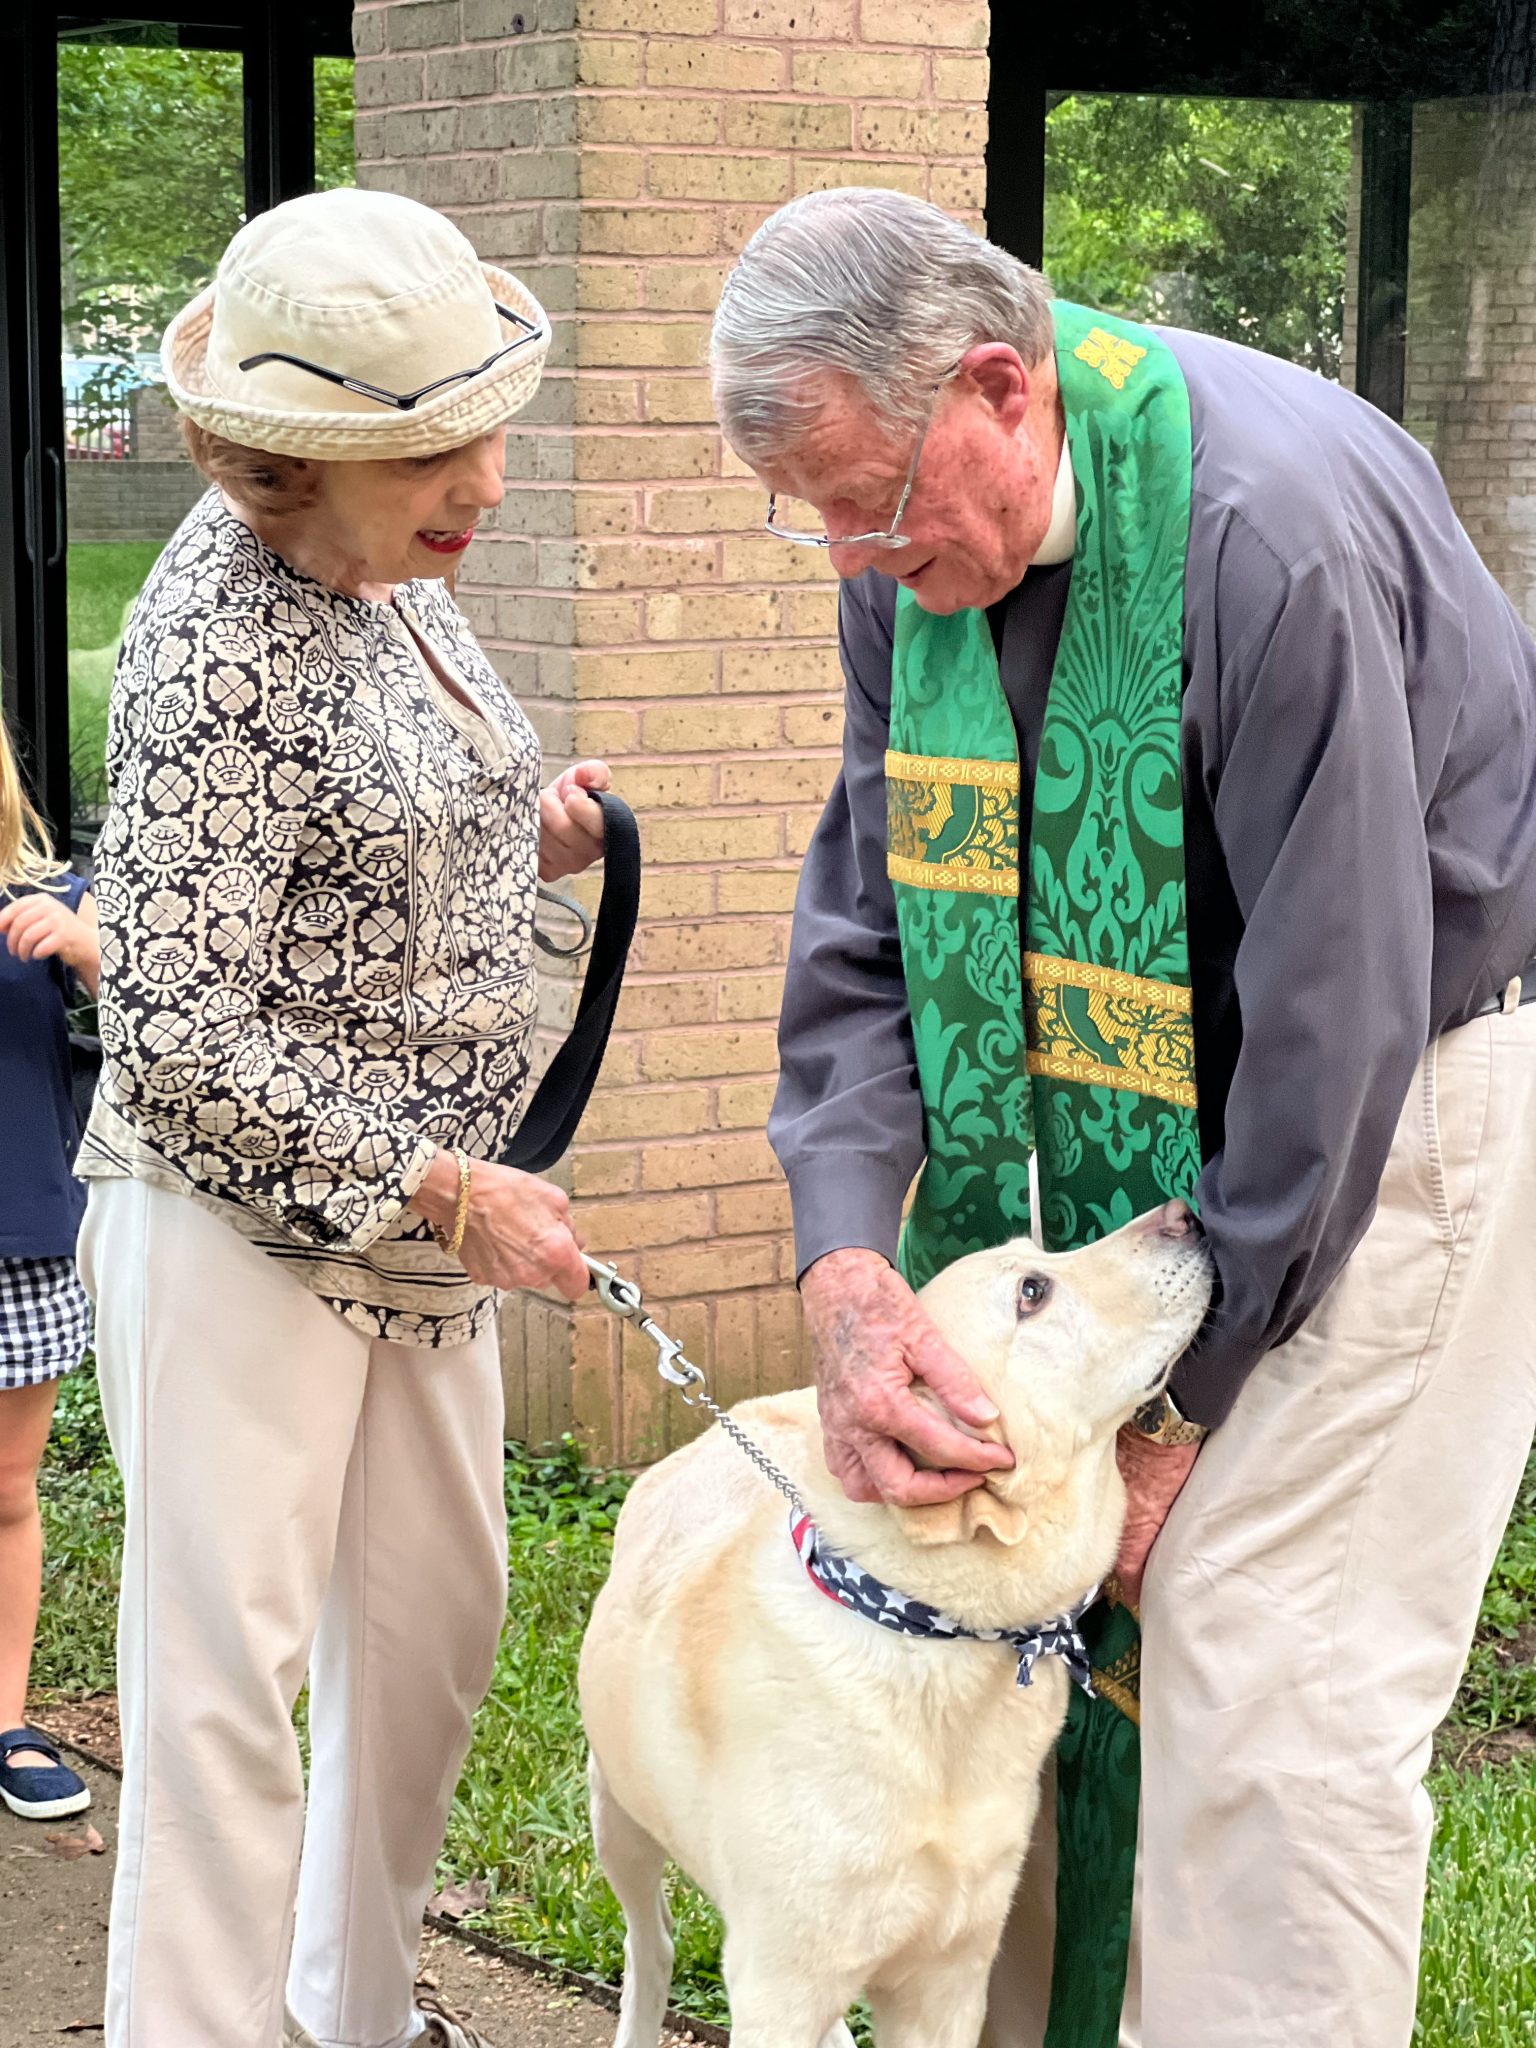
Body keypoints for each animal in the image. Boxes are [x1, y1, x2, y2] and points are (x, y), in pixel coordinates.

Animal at [577, 1204, 1212, 2039]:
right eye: (1032, 1291)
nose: (1187, 1214)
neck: (934, 1631)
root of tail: (729, 1416)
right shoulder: (781, 1986)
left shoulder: (951, 1977)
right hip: (619, 1817)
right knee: (650, 1945)